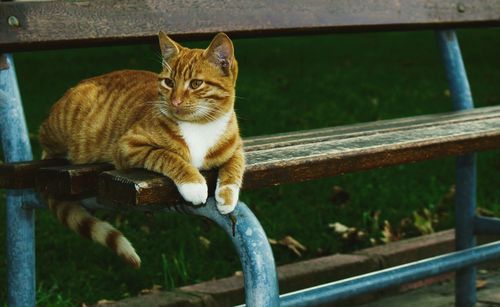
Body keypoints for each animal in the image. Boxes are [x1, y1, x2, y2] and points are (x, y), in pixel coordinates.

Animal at [38, 31, 245, 268]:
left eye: (195, 84)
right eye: (169, 82)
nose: (175, 101)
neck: (200, 126)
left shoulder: (237, 146)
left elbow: (235, 167)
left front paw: (227, 197)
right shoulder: (128, 146)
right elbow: (168, 155)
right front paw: (194, 184)